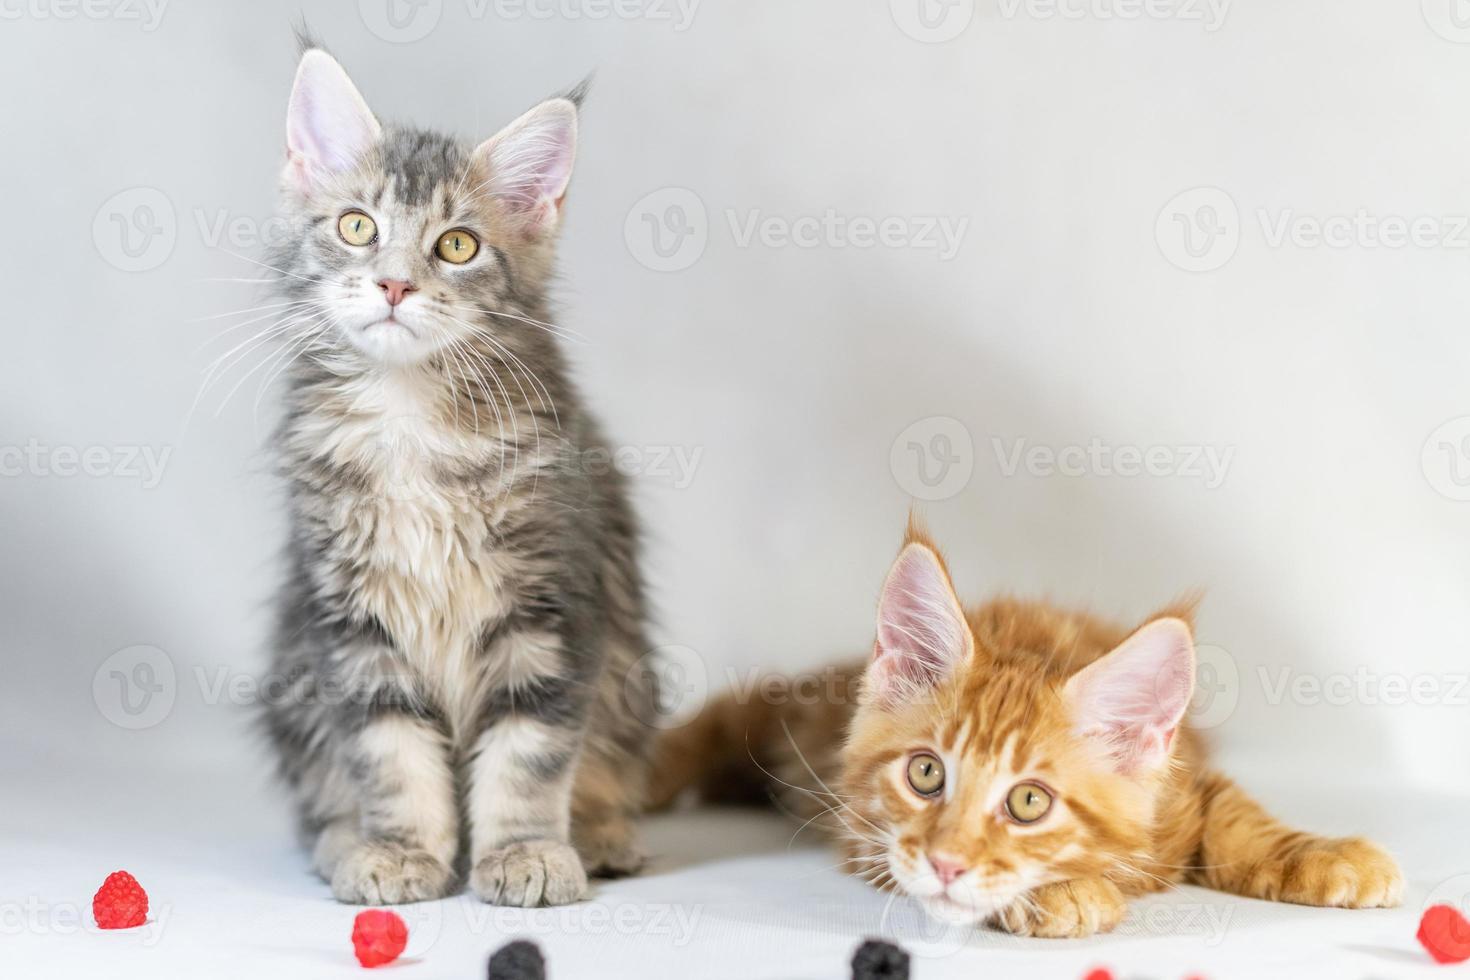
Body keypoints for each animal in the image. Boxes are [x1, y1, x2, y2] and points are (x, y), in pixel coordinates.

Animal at [261, 44, 658, 905]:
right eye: (357, 227)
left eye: (457, 246)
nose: (394, 284)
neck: (410, 413)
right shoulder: (351, 620)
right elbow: (390, 755)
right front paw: (399, 851)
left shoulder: (550, 604)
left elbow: (527, 756)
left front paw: (526, 852)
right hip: (293, 675)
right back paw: (342, 840)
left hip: (628, 676)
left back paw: (601, 835)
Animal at [652, 525, 1399, 940]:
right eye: (926, 772)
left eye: (1029, 802)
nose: (947, 862)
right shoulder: (861, 830)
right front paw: (1061, 893)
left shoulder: (1187, 782)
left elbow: (1241, 820)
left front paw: (1330, 856)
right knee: (724, 716)